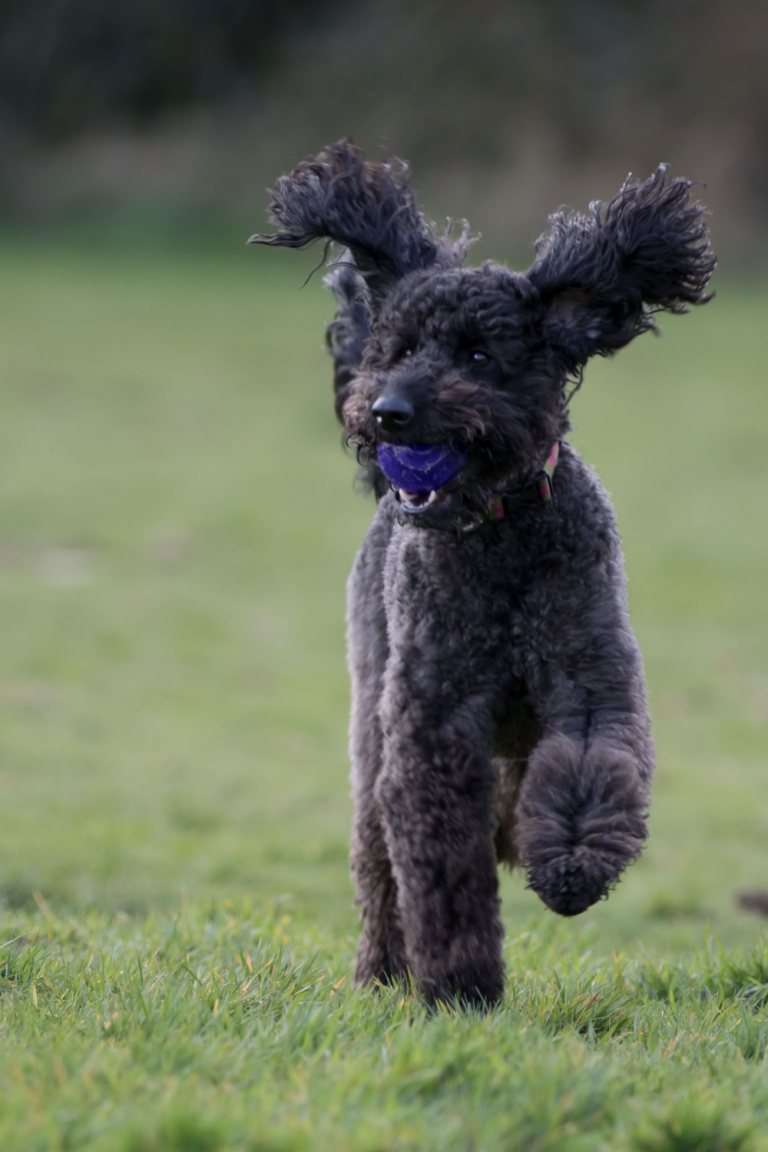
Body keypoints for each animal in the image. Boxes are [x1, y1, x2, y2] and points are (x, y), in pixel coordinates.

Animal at [252, 141, 713, 1009]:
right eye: (400, 349)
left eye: (477, 356)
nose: (390, 413)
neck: (499, 541)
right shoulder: (430, 725)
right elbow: (438, 866)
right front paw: (460, 986)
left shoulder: (590, 680)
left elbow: (589, 770)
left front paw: (569, 867)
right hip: (373, 720)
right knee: (378, 870)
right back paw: (381, 974)